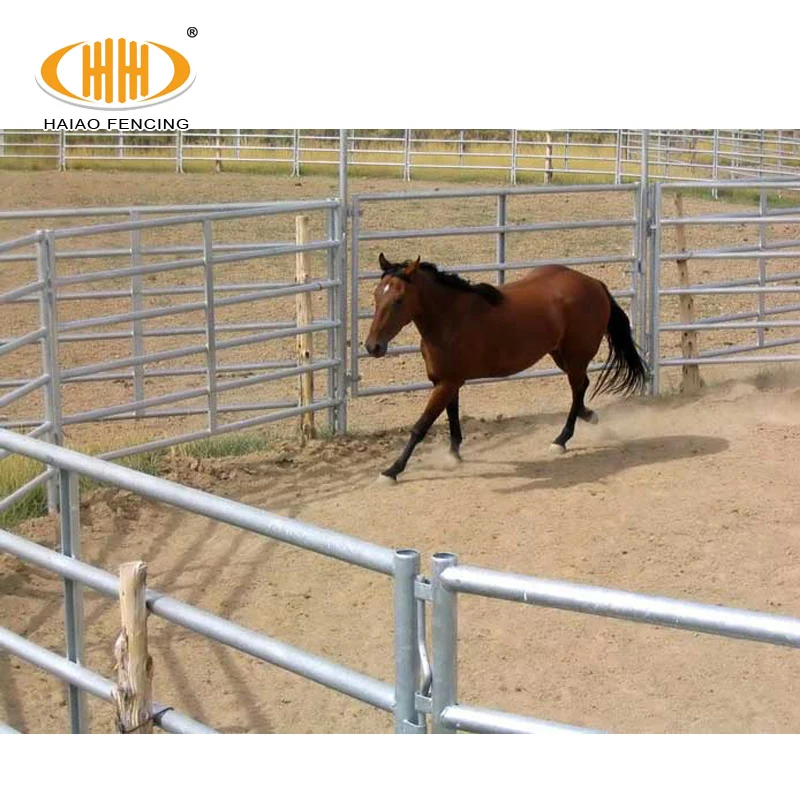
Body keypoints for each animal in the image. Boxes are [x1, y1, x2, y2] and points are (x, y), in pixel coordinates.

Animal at [364, 253, 648, 481]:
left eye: (399, 299)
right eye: (377, 295)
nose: (372, 346)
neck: (450, 319)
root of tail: (594, 284)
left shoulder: (447, 383)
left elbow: (420, 426)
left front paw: (391, 471)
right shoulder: (446, 382)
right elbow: (452, 415)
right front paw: (454, 454)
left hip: (576, 356)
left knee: (578, 388)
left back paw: (561, 440)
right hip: (560, 354)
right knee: (580, 389)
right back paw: (588, 417)